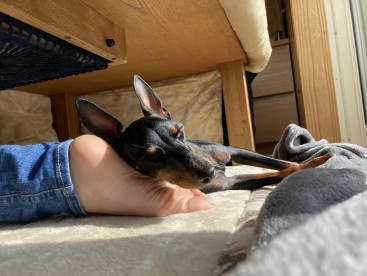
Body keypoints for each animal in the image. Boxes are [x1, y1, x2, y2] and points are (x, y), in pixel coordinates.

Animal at [75, 74, 334, 193]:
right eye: (149, 156)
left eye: (179, 132)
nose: (209, 171)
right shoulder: (228, 184)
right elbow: (283, 172)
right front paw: (316, 161)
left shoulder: (232, 151)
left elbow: (278, 162)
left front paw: (309, 158)